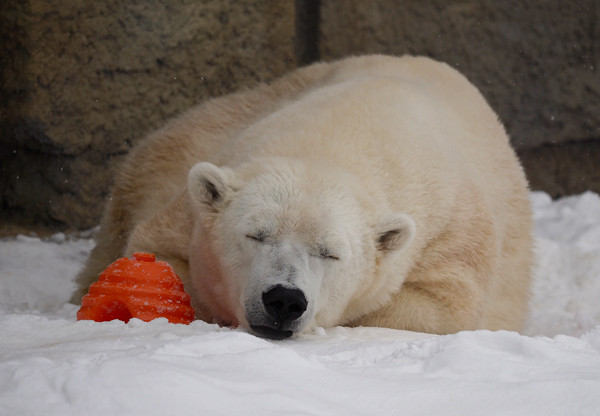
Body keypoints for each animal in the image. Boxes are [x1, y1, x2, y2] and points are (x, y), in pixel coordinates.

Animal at [72, 54, 532, 338]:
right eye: (255, 235)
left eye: (330, 253)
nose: (284, 300)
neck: (340, 139)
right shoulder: (195, 198)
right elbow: (160, 254)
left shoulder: (452, 235)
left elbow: (442, 308)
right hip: (197, 132)